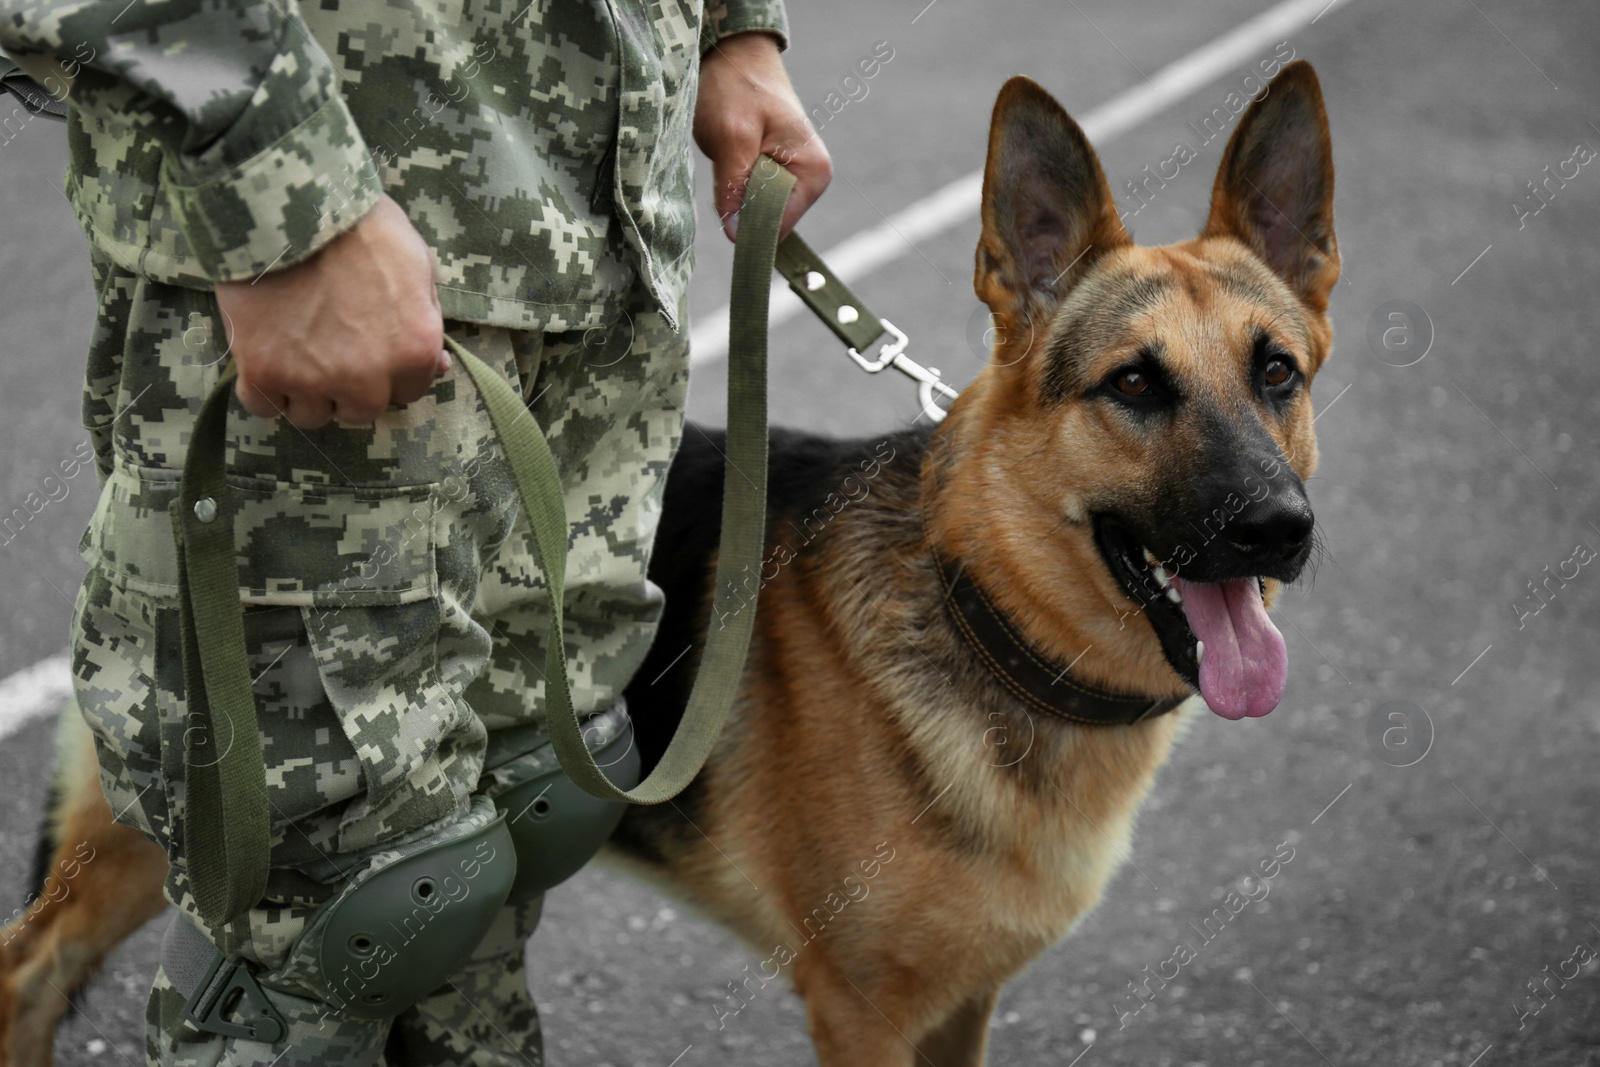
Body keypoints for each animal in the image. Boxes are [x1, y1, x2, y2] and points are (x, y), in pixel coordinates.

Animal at [0, 62, 1337, 1062]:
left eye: (1276, 371)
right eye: (1133, 386)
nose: (1280, 529)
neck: (977, 602)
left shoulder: (963, 1004)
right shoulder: (861, 1014)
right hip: (212, 829)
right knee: (37, 967)